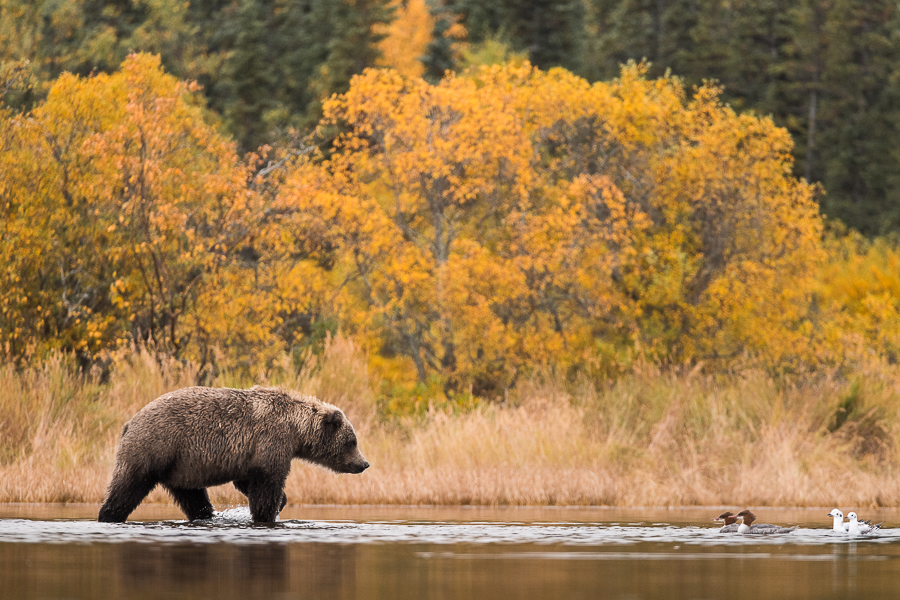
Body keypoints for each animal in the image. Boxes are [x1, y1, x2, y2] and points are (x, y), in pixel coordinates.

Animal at [96, 386, 368, 524]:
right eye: (352, 441)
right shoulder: (271, 440)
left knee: (193, 497)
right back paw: (109, 515)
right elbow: (267, 484)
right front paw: (267, 514)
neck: (295, 429)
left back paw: (205, 515)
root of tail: (129, 423)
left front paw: (281, 502)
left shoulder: (251, 454)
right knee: (128, 486)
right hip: (154, 447)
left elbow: (247, 481)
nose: (364, 463)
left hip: (181, 467)